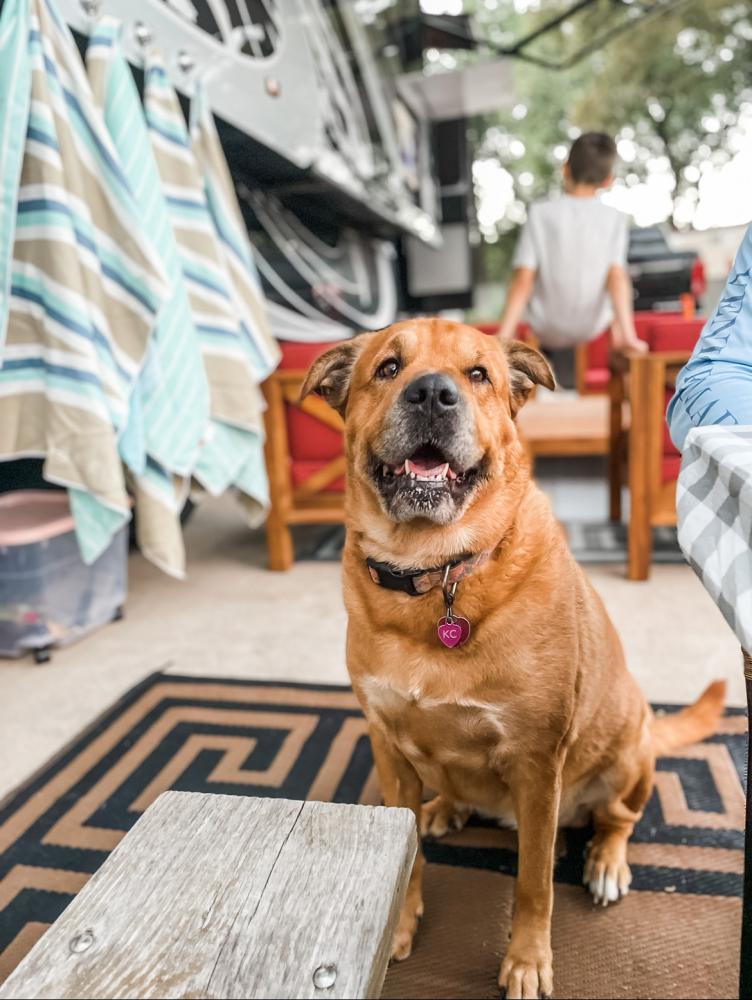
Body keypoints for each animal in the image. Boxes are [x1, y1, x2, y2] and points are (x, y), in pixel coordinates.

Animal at [301, 318, 725, 1000]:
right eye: (389, 367)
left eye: (479, 375)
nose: (432, 394)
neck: (439, 573)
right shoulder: (388, 747)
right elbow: (408, 855)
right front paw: (399, 925)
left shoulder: (535, 763)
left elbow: (533, 882)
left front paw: (527, 961)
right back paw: (446, 808)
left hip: (627, 753)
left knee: (617, 819)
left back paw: (605, 862)